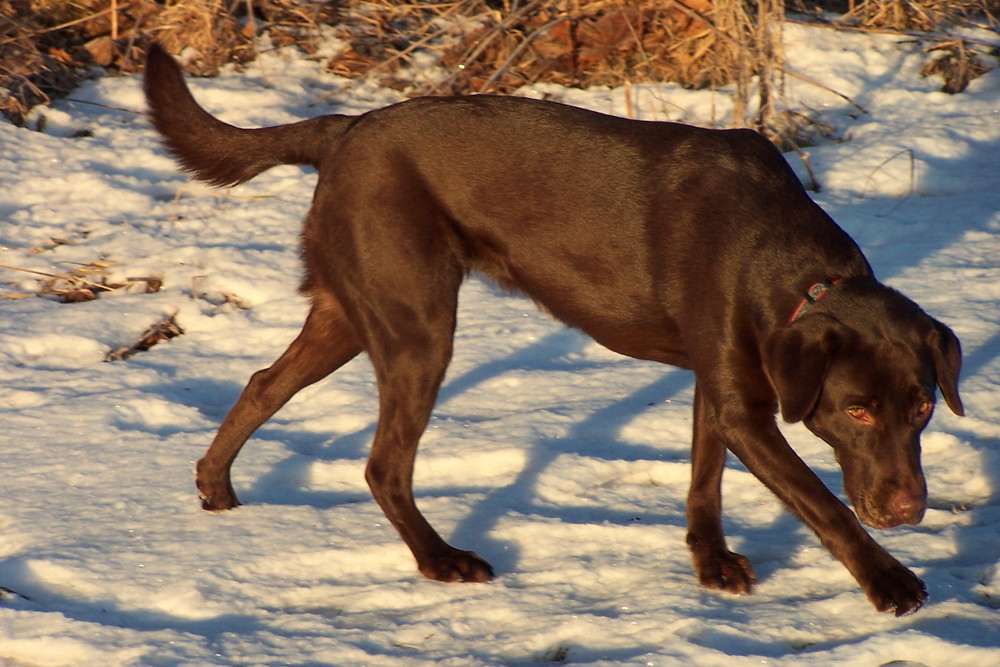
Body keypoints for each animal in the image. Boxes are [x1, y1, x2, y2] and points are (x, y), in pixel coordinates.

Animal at [145, 43, 964, 616]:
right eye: (856, 410)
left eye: (924, 406)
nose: (908, 510)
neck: (798, 273)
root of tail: (346, 130)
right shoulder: (745, 404)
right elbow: (823, 502)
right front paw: (891, 583)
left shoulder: (723, 384)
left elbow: (705, 479)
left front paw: (710, 565)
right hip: (418, 326)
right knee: (383, 464)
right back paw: (440, 561)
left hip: (353, 312)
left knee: (263, 384)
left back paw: (215, 485)